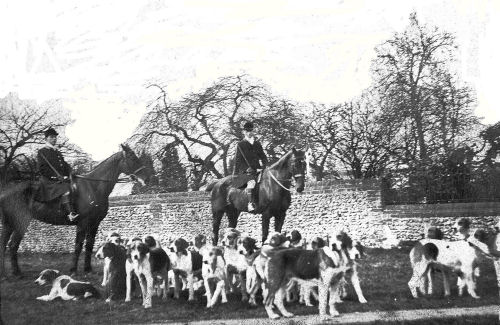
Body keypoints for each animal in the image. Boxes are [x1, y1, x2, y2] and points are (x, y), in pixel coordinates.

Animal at [0, 144, 149, 278]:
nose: (145, 179)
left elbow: (89, 246)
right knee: (13, 245)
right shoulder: (82, 223)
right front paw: (73, 270)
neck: (93, 187)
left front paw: (88, 269)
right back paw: (16, 273)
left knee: (4, 244)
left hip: (9, 223)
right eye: (132, 157)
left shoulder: (94, 224)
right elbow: (78, 246)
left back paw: (4, 273)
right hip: (21, 222)